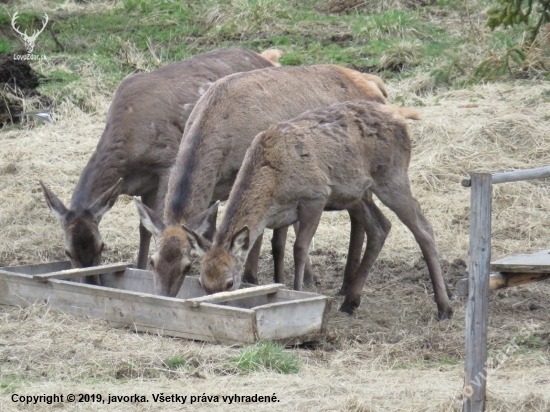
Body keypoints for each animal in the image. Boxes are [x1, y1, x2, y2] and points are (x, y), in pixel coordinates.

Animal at [38, 46, 282, 282]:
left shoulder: (167, 161)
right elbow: (145, 228)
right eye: (68, 252)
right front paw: (141, 266)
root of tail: (268, 59)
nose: (90, 280)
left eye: (101, 246)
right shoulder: (146, 185)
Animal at [135, 62, 390, 298]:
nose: (164, 296)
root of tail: (378, 86)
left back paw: (346, 285)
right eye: (153, 262)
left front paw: (253, 278)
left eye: (187, 266)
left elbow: (261, 239)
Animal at [183, 100, 454, 318]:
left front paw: (299, 292)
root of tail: (400, 117)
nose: (214, 306)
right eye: (203, 283)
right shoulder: (280, 216)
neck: (273, 183)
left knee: (423, 226)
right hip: (357, 193)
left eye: (229, 283)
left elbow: (299, 248)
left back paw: (444, 307)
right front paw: (279, 287)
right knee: (380, 226)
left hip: (391, 175)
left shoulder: (315, 196)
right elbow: (277, 248)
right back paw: (350, 301)